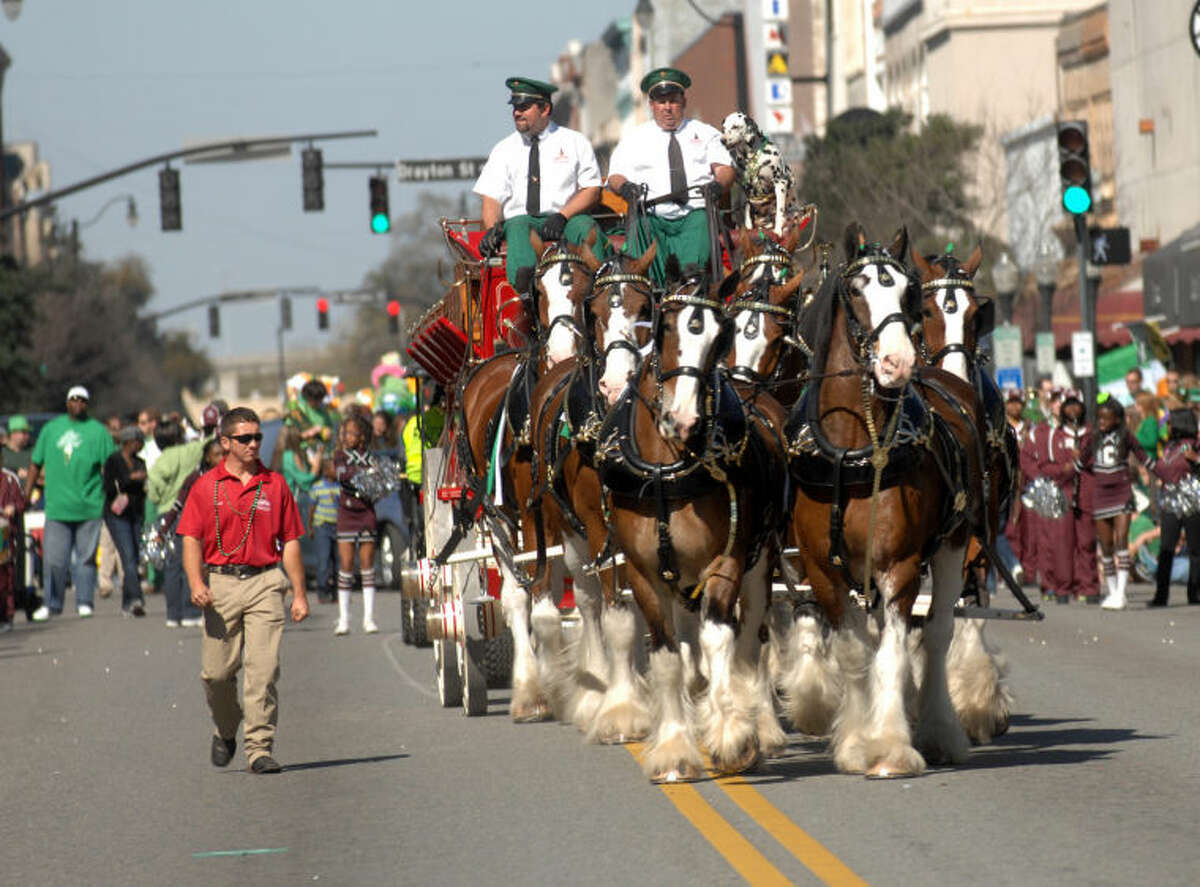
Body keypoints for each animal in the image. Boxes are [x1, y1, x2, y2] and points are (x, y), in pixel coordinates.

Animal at [448, 232, 597, 724]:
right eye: (540, 292)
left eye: (586, 287)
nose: (564, 351)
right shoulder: (534, 516)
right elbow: (539, 603)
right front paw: (545, 689)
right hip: (495, 516)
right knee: (517, 596)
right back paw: (531, 687)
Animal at [597, 273, 787, 782]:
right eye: (664, 328)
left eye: (720, 336)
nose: (683, 420)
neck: (667, 469)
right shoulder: (643, 574)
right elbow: (667, 656)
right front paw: (674, 749)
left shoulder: (726, 561)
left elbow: (719, 637)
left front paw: (733, 736)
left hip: (760, 563)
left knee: (752, 638)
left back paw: (758, 721)